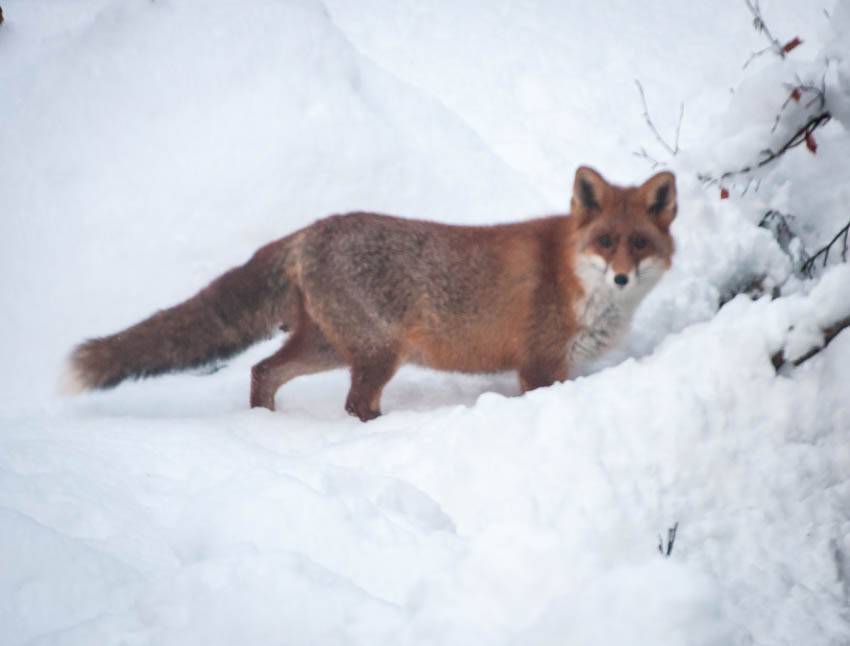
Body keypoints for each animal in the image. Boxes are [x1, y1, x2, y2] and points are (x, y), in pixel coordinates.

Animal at [63, 167, 676, 420]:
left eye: (639, 244)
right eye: (605, 243)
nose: (621, 277)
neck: (577, 280)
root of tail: (312, 229)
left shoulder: (561, 367)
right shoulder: (540, 366)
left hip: (330, 347)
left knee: (263, 371)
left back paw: (264, 426)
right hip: (379, 353)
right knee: (354, 404)